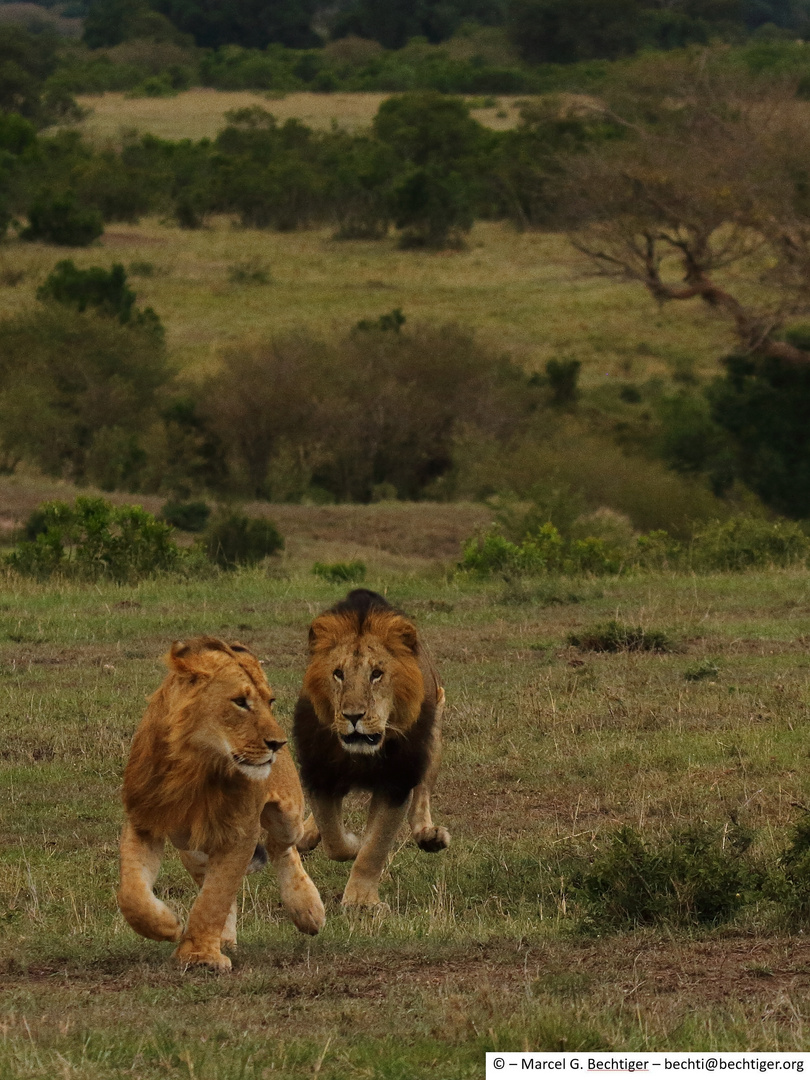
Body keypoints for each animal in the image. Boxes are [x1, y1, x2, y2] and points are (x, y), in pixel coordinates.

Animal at [118, 630, 326, 972]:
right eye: (240, 702)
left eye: (270, 702)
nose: (278, 743)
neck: (194, 766)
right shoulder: (143, 822)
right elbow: (132, 894)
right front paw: (168, 926)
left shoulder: (240, 833)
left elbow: (214, 898)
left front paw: (199, 956)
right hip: (192, 850)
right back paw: (225, 938)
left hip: (288, 815)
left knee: (280, 846)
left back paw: (307, 910)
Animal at [293, 587, 451, 907]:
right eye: (338, 673)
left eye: (377, 674)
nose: (353, 716)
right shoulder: (319, 772)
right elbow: (334, 838)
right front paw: (351, 843)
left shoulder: (396, 781)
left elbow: (375, 846)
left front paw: (360, 901)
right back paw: (305, 835)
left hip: (433, 737)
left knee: (422, 794)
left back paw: (429, 835)